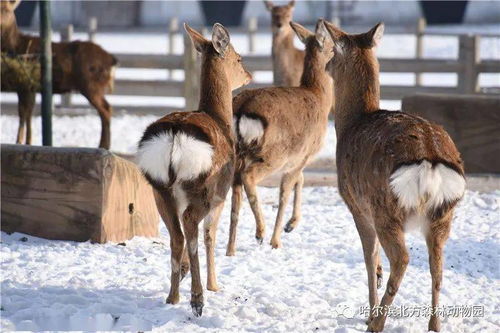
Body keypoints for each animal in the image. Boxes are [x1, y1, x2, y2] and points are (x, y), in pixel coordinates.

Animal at [0, 0, 117, 148]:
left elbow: (23, 112)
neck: (14, 47)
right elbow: (28, 112)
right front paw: (27, 141)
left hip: (91, 84)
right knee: (106, 109)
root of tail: (112, 60)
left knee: (105, 109)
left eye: (5, 9)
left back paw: (103, 145)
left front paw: (20, 141)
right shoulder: (28, 87)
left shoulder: (25, 84)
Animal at [137, 22, 252, 316]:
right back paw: (197, 299)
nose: (249, 74)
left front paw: (186, 275)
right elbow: (211, 235)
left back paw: (172, 296)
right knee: (191, 227)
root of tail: (175, 134)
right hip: (203, 185)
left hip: (159, 188)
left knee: (176, 236)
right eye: (239, 58)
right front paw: (215, 286)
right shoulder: (221, 194)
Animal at [226, 20, 334, 254]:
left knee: (234, 196)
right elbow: (285, 194)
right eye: (334, 46)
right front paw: (277, 240)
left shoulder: (296, 160)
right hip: (271, 154)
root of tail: (241, 110)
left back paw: (230, 250)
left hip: (237, 155)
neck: (320, 98)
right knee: (248, 178)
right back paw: (260, 232)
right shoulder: (301, 155)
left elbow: (300, 181)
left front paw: (290, 225)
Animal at [322, 21, 466, 332]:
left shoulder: (356, 204)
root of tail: (430, 162)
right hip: (443, 215)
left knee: (401, 259)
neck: (351, 122)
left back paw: (376, 323)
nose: (325, 64)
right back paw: (434, 324)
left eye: (334, 52)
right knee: (437, 266)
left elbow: (369, 257)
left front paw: (368, 312)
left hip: (385, 208)